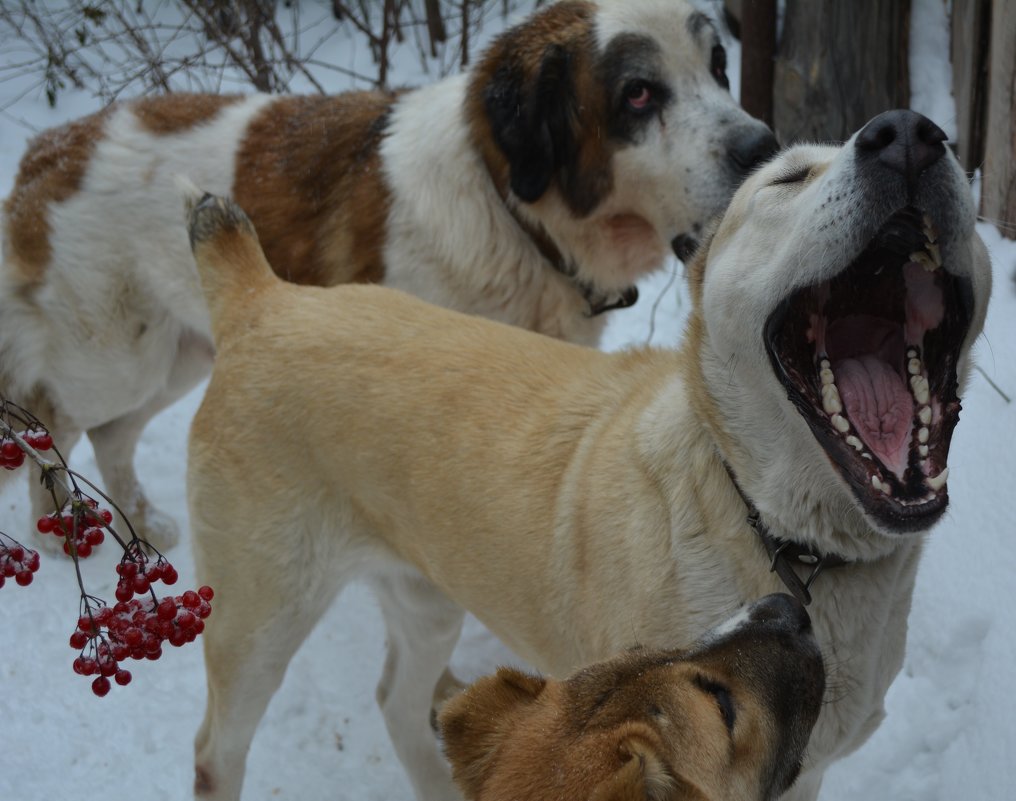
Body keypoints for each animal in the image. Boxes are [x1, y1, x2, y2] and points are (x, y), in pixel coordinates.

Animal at [0, 0, 768, 548]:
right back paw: (64, 528)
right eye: (639, 94)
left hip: (176, 354)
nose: (763, 146)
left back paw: (138, 523)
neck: (508, 210)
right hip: (112, 358)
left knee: (111, 434)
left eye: (718, 66)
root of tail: (51, 149)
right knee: (51, 420)